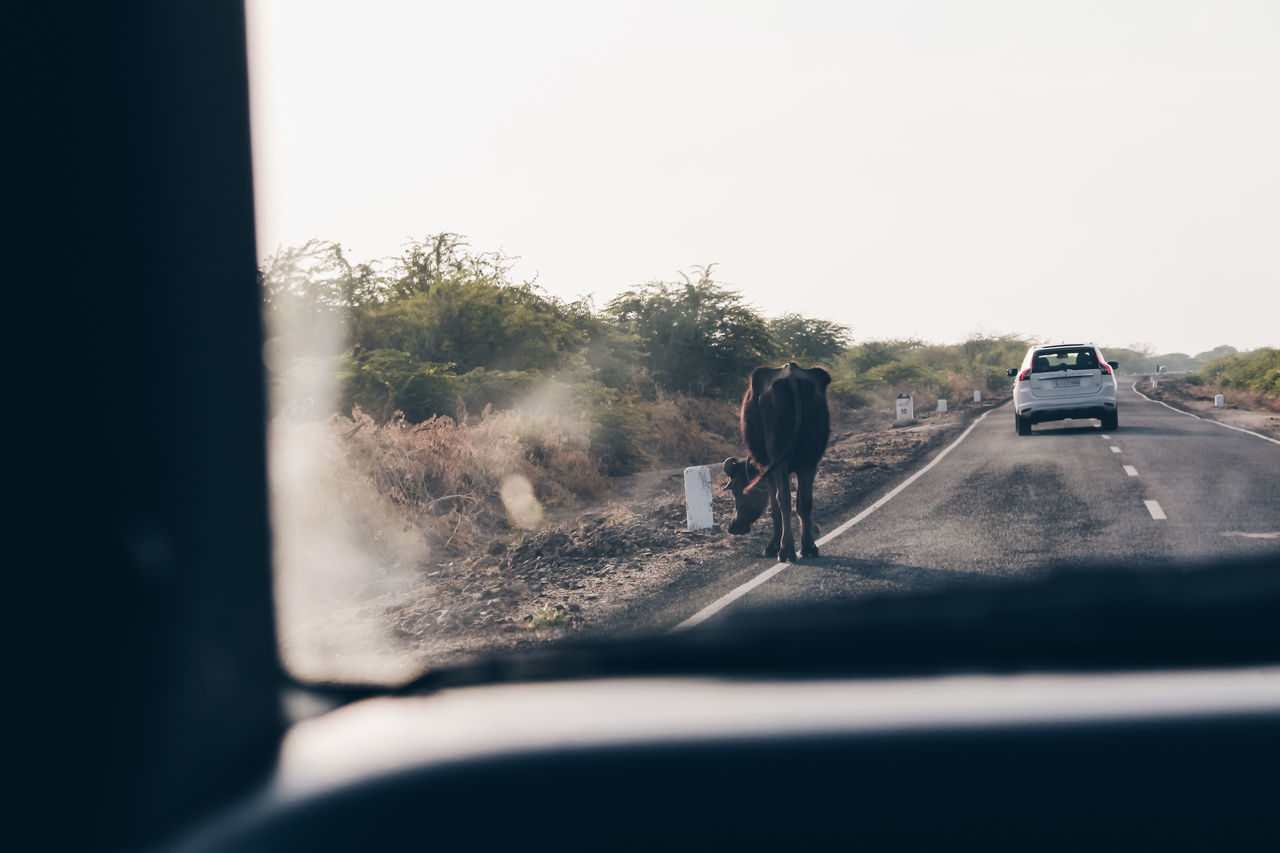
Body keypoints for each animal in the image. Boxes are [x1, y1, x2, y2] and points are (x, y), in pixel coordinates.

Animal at [721, 361, 829, 560]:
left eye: (735, 489)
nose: (733, 527)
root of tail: (791, 378)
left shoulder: (768, 472)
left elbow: (774, 508)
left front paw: (772, 546)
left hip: (780, 462)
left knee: (784, 499)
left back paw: (786, 550)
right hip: (809, 459)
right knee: (805, 500)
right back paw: (808, 547)